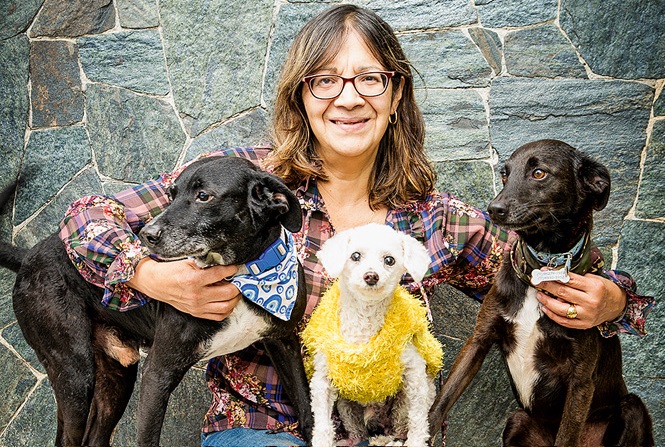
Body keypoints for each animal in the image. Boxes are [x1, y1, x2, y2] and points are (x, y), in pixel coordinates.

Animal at [0, 157, 314, 447]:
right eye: (171, 194)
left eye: (204, 196)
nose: (146, 235)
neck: (242, 275)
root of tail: (28, 257)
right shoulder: (157, 373)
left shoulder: (284, 343)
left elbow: (306, 407)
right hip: (74, 375)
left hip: (117, 374)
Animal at [302, 226, 440, 446]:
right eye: (355, 255)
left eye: (389, 260)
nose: (371, 276)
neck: (364, 320)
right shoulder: (323, 378)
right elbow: (322, 422)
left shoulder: (415, 374)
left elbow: (418, 420)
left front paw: (415, 442)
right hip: (346, 406)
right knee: (358, 432)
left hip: (401, 404)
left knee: (398, 429)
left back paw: (386, 440)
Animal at [428, 141, 652, 447]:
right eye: (504, 174)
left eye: (539, 173)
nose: (494, 209)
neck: (541, 273)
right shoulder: (479, 340)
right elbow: (441, 401)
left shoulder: (581, 380)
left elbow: (567, 436)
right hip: (517, 420)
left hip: (633, 407)